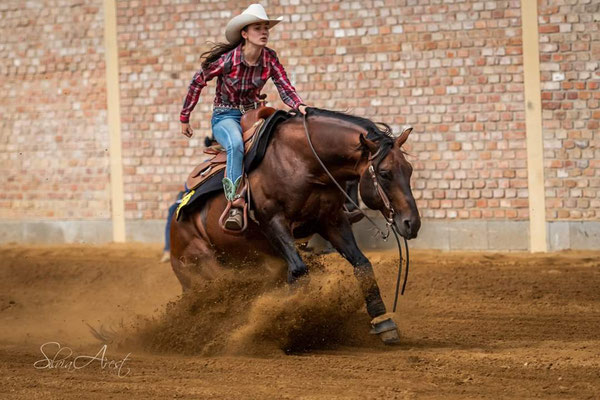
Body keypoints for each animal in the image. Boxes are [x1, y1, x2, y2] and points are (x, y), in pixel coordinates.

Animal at [170, 108, 422, 344]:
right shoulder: (273, 222)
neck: (303, 161)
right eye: (385, 173)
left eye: (409, 170)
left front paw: (383, 322)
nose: (412, 223)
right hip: (202, 263)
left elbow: (362, 265)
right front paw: (288, 324)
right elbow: (299, 270)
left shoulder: (332, 221)